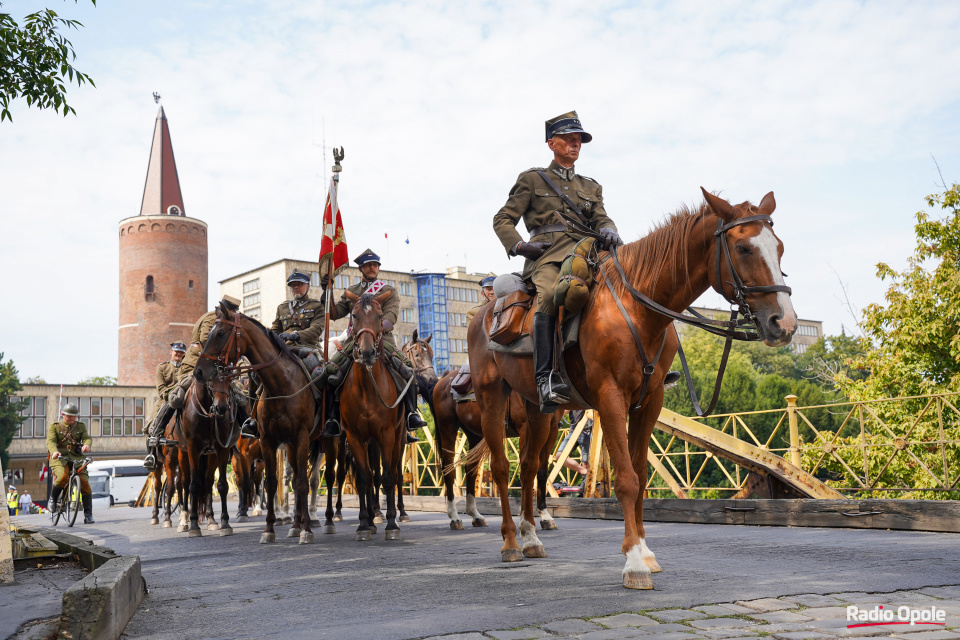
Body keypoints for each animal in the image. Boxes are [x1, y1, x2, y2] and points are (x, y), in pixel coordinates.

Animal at [195, 306, 322, 544]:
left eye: (220, 334)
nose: (198, 371)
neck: (281, 384)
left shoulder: (301, 437)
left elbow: (300, 482)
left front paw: (307, 531)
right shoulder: (267, 441)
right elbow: (269, 482)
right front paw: (269, 529)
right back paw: (295, 524)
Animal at [470, 190, 796, 592]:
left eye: (778, 247)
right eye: (744, 248)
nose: (785, 322)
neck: (636, 309)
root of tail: (485, 310)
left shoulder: (649, 402)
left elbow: (640, 476)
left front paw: (646, 552)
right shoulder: (610, 397)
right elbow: (626, 479)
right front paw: (634, 563)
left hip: (537, 407)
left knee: (530, 466)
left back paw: (531, 537)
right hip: (491, 397)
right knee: (501, 468)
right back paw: (511, 543)